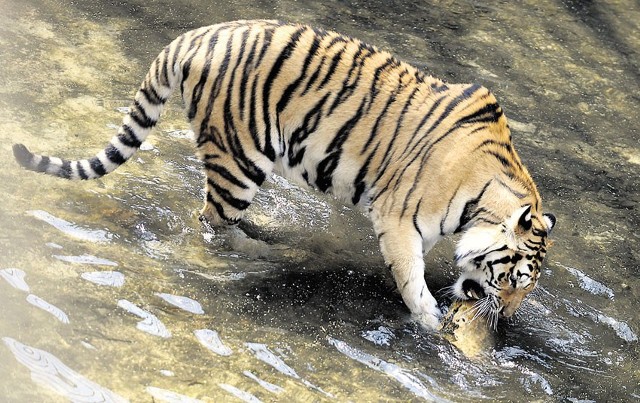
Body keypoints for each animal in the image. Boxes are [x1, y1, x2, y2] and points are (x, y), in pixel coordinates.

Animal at [13, 19, 556, 330]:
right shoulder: (398, 220)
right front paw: (429, 321)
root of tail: (192, 36)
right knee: (211, 223)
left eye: (528, 289)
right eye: (514, 280)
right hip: (239, 161)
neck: (482, 201)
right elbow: (411, 277)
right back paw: (260, 253)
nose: (508, 320)